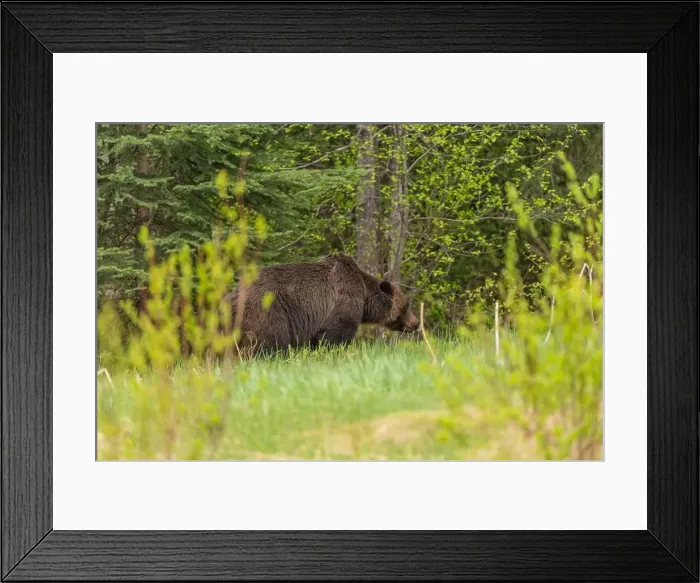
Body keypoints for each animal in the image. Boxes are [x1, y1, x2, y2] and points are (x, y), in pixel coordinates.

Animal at [222, 253, 420, 355]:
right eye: (406, 305)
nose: (416, 323)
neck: (365, 298)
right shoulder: (343, 302)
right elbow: (334, 335)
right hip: (267, 313)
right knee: (266, 342)